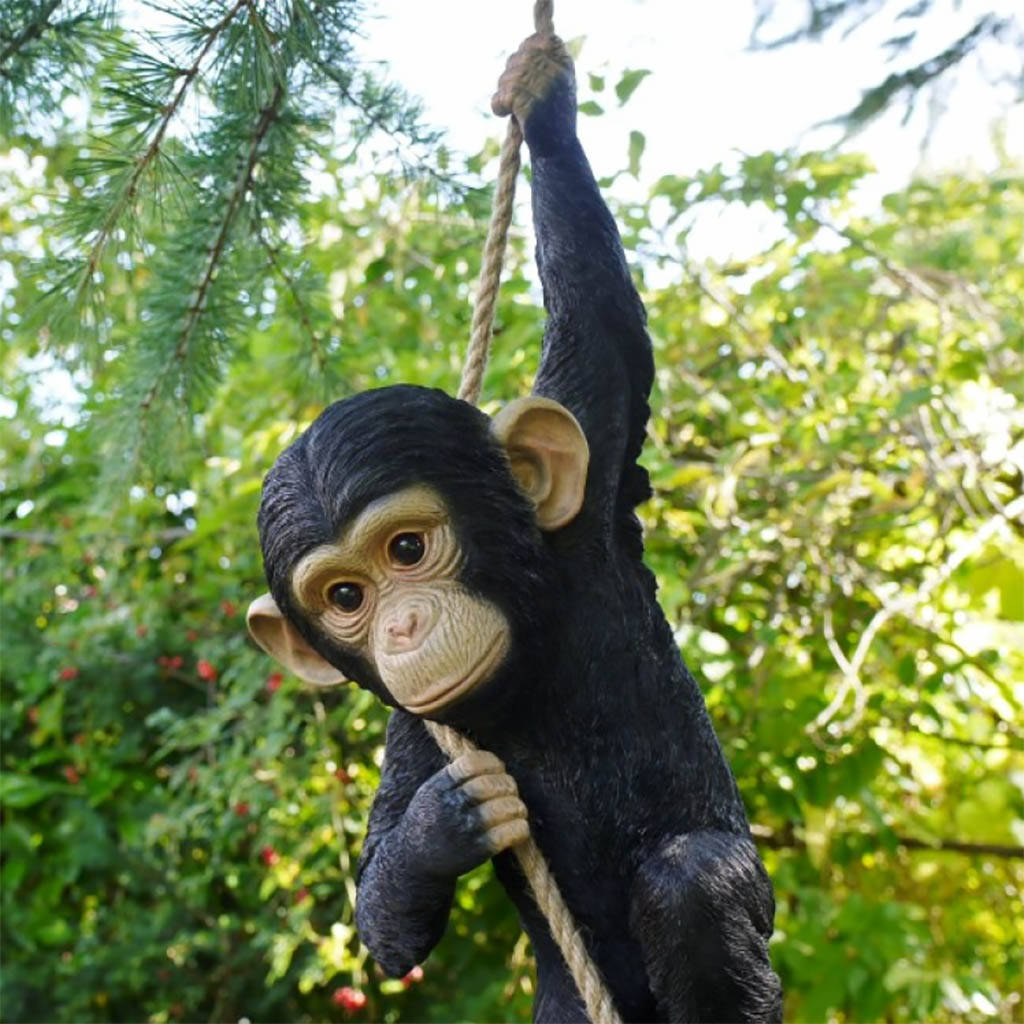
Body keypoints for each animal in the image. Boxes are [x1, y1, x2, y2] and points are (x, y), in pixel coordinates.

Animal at [247, 32, 782, 1024]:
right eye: (345, 596)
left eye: (408, 549)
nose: (404, 624)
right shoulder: (416, 728)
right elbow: (384, 917)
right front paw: (441, 825)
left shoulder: (594, 486)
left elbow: (601, 327)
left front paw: (542, 103)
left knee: (695, 881)